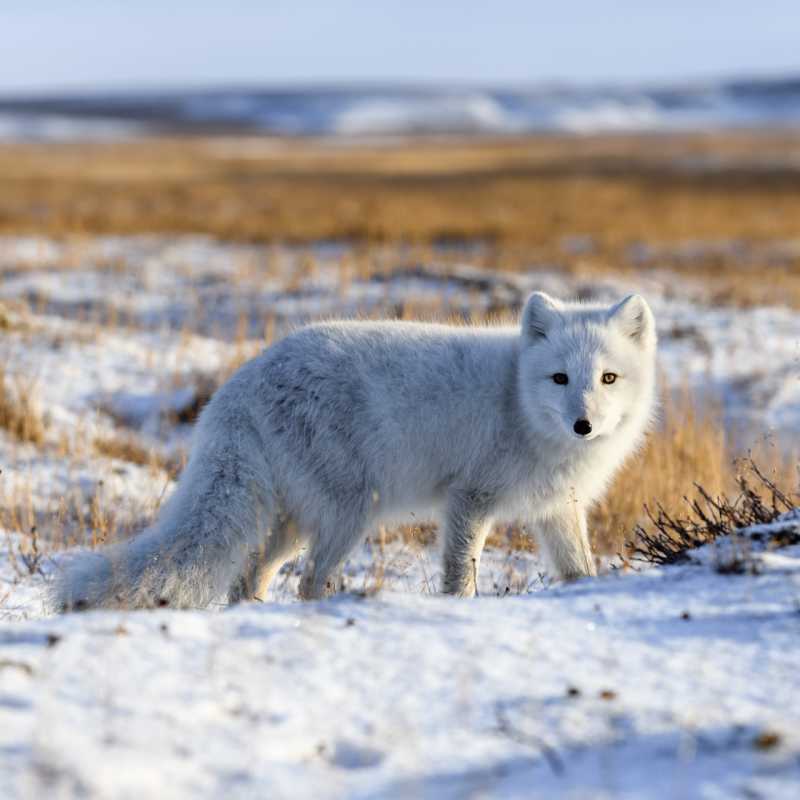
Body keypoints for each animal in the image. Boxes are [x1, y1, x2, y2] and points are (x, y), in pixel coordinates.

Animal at [51, 291, 657, 611]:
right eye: (559, 378)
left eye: (608, 378)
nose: (583, 424)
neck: (518, 403)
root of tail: (239, 384)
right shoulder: (469, 500)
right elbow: (460, 575)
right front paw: (459, 610)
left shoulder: (558, 511)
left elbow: (579, 569)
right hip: (348, 514)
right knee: (308, 581)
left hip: (296, 519)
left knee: (253, 577)